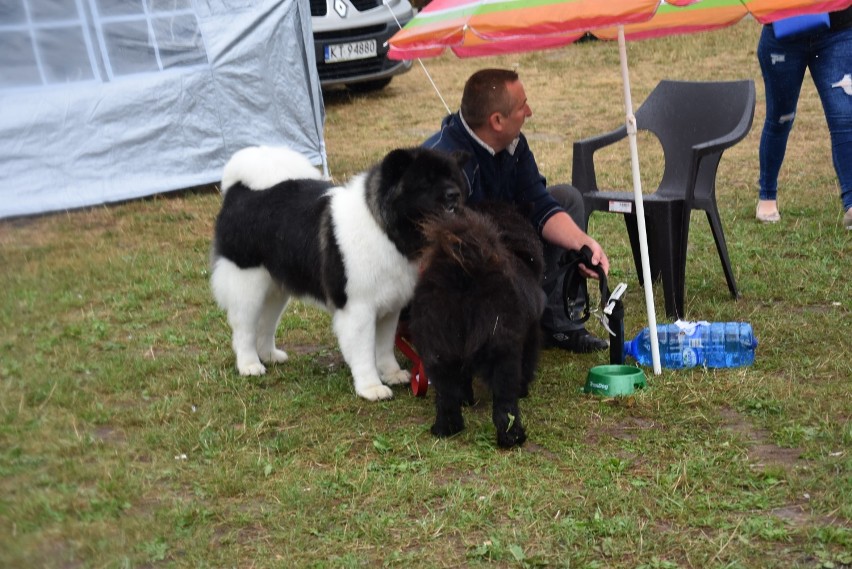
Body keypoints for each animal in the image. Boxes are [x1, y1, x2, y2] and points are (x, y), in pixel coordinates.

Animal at [211, 146, 470, 400]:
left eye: (453, 178)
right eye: (426, 182)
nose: (454, 194)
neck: (384, 230)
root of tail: (238, 192)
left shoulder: (390, 308)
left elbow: (384, 346)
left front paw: (391, 373)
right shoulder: (359, 310)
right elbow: (364, 352)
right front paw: (371, 387)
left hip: (276, 288)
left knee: (266, 322)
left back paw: (269, 356)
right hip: (248, 284)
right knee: (244, 328)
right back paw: (249, 365)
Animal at [408, 202, 544, 446]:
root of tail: (463, 275)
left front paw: (466, 400)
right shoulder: (531, 334)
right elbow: (527, 365)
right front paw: (524, 389)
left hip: (439, 350)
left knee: (446, 396)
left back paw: (445, 429)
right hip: (501, 350)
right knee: (505, 405)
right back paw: (513, 437)